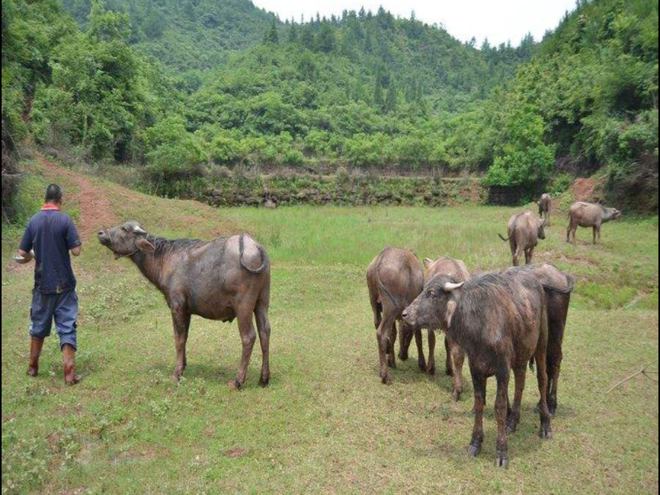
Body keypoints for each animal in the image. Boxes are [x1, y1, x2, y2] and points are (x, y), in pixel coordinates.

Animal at [97, 223, 270, 390]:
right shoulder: (187, 311)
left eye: (124, 228)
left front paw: (177, 373)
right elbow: (185, 337)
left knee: (248, 337)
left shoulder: (177, 306)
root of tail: (255, 247)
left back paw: (238, 381)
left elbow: (178, 338)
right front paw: (183, 366)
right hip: (262, 302)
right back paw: (264, 379)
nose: (101, 233)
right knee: (265, 332)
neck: (165, 259)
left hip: (244, 306)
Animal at [366, 247, 422, 384]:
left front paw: (391, 359)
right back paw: (385, 375)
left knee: (378, 325)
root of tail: (380, 258)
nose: (403, 355)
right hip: (390, 308)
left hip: (375, 304)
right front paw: (422, 364)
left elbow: (394, 334)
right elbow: (418, 337)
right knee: (381, 333)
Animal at [402, 272, 552, 468]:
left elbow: (499, 407)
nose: (405, 314)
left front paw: (502, 451)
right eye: (423, 289)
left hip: (541, 344)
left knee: (542, 380)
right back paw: (513, 422)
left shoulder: (502, 371)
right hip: (520, 355)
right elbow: (479, 403)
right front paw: (475, 443)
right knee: (520, 383)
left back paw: (545, 425)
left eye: (432, 293)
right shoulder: (476, 369)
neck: (480, 323)